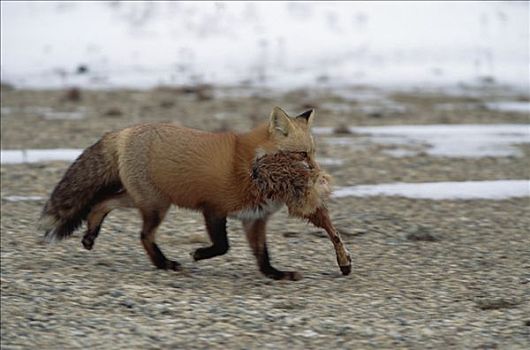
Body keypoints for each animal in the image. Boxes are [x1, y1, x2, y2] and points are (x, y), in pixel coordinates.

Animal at [41, 106, 350, 278]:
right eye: (302, 155)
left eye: (314, 153)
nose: (319, 175)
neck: (252, 166)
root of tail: (126, 131)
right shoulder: (213, 208)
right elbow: (223, 246)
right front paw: (199, 254)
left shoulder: (254, 219)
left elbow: (262, 256)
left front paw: (276, 275)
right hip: (156, 206)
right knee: (143, 235)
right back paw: (164, 264)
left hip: (142, 199)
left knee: (102, 204)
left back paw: (91, 235)